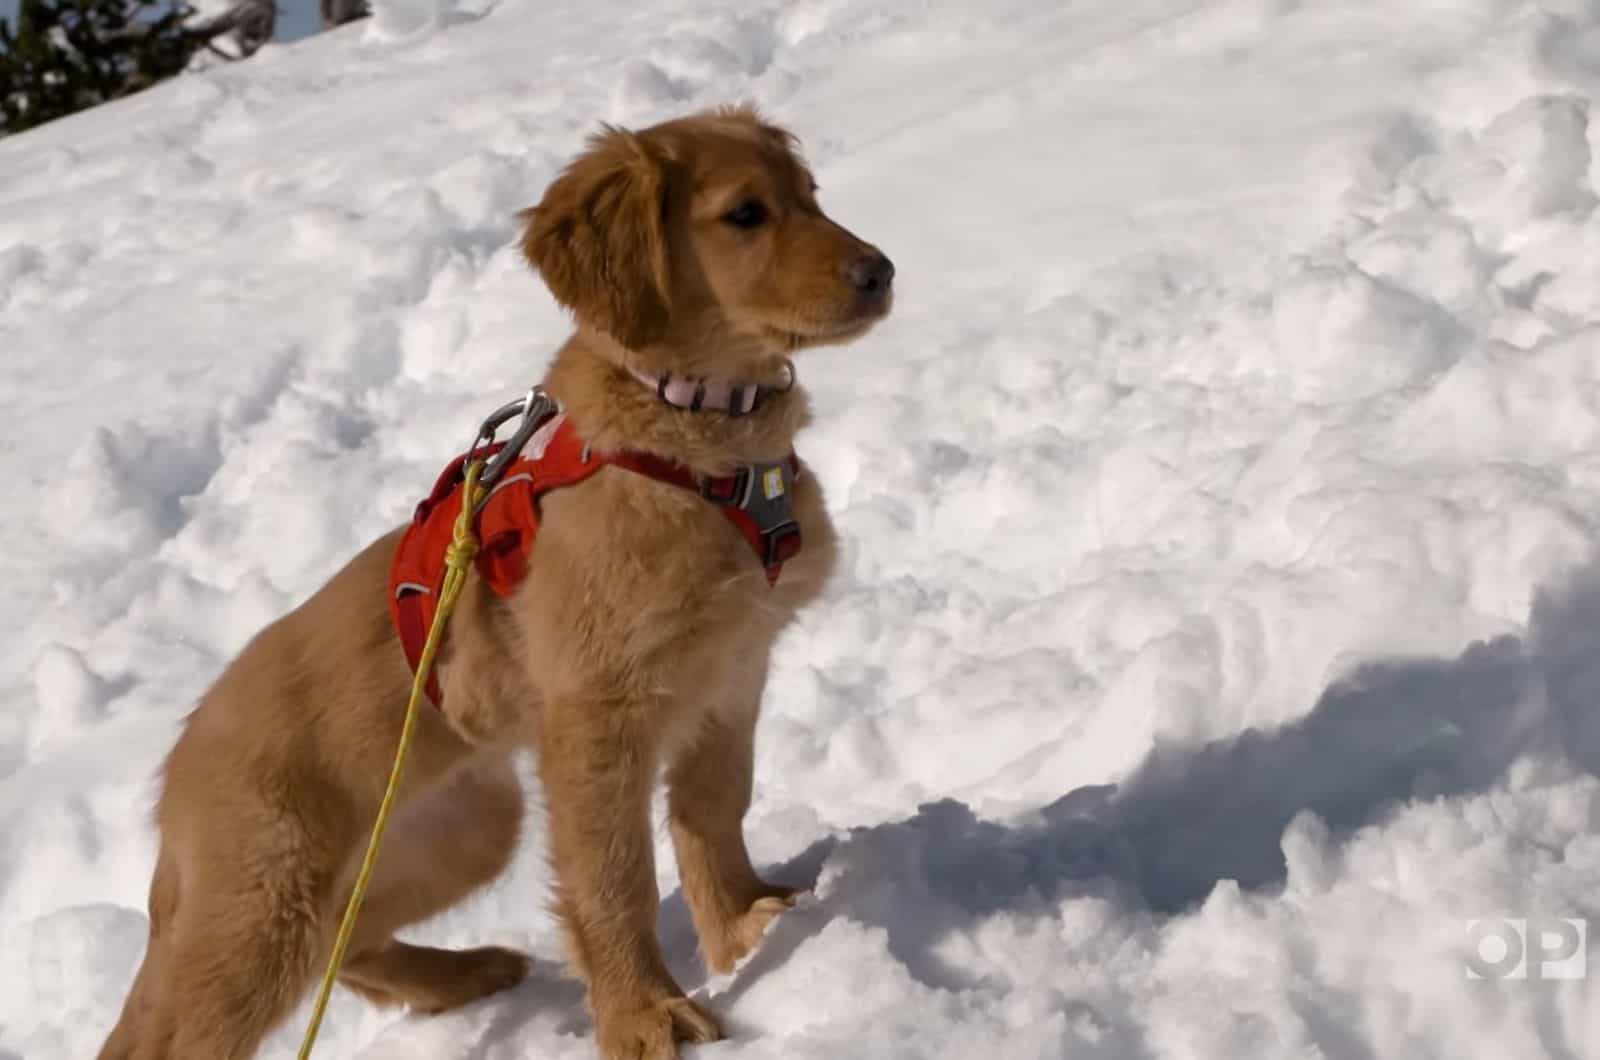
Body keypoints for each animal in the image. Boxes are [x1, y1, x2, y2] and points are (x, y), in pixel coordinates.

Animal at [93, 105, 896, 1060]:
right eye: (745, 214)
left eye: (811, 195)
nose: (881, 272)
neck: (696, 446)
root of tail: (178, 761)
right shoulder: (595, 717)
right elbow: (614, 878)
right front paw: (645, 1015)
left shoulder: (731, 676)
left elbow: (713, 811)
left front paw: (747, 929)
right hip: (262, 906)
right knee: (196, 1022)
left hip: (459, 830)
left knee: (348, 941)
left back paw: (465, 975)